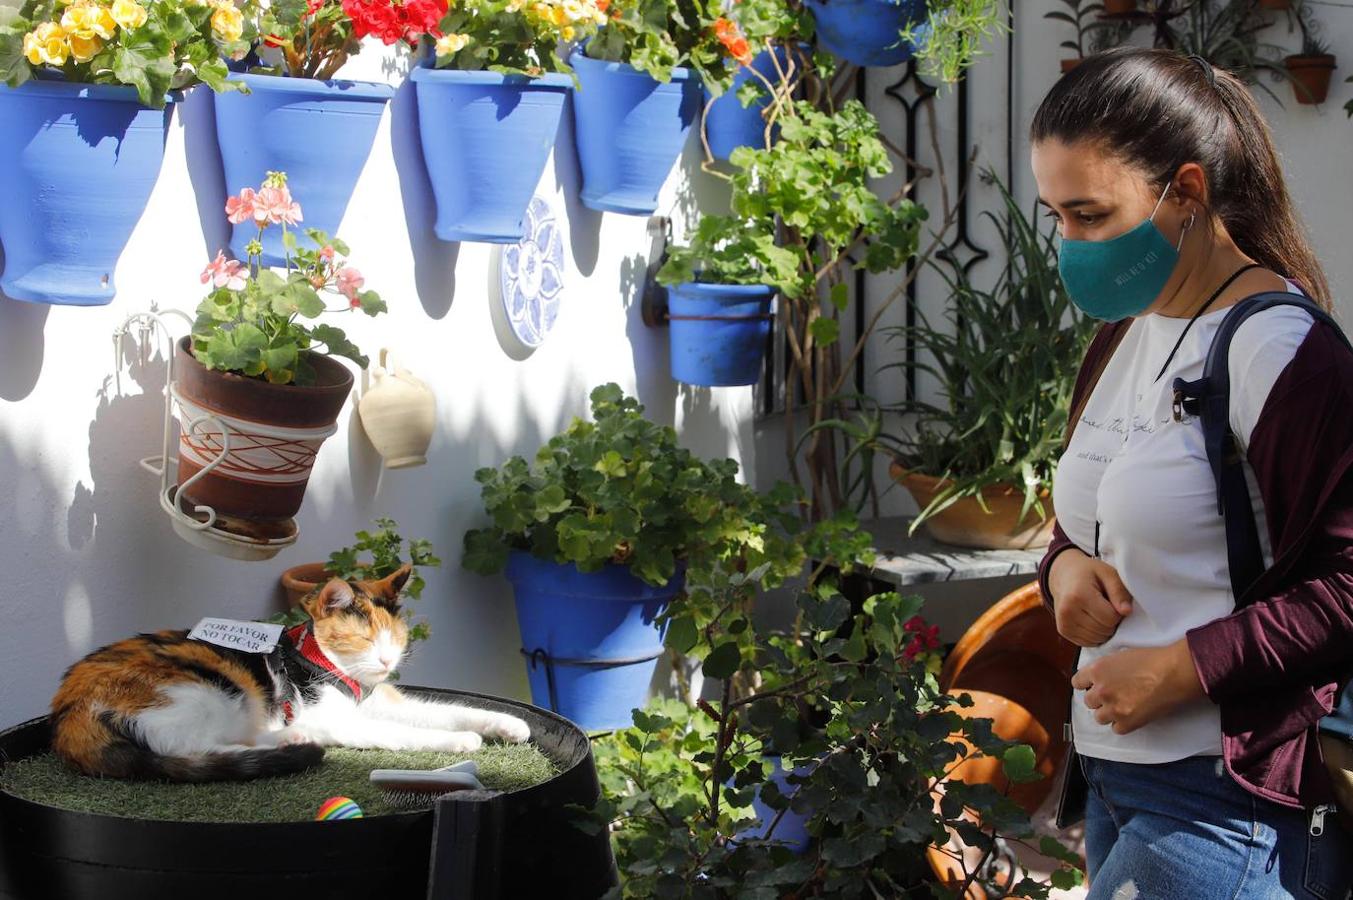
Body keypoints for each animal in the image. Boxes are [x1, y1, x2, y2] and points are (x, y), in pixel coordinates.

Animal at [51, 563, 527, 779]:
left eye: (394, 637)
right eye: (364, 640)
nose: (387, 662)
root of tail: (69, 710)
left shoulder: (385, 703)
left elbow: (447, 710)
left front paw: (508, 725)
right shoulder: (343, 719)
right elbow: (404, 733)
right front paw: (459, 741)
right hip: (203, 690)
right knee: (188, 747)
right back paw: (292, 740)